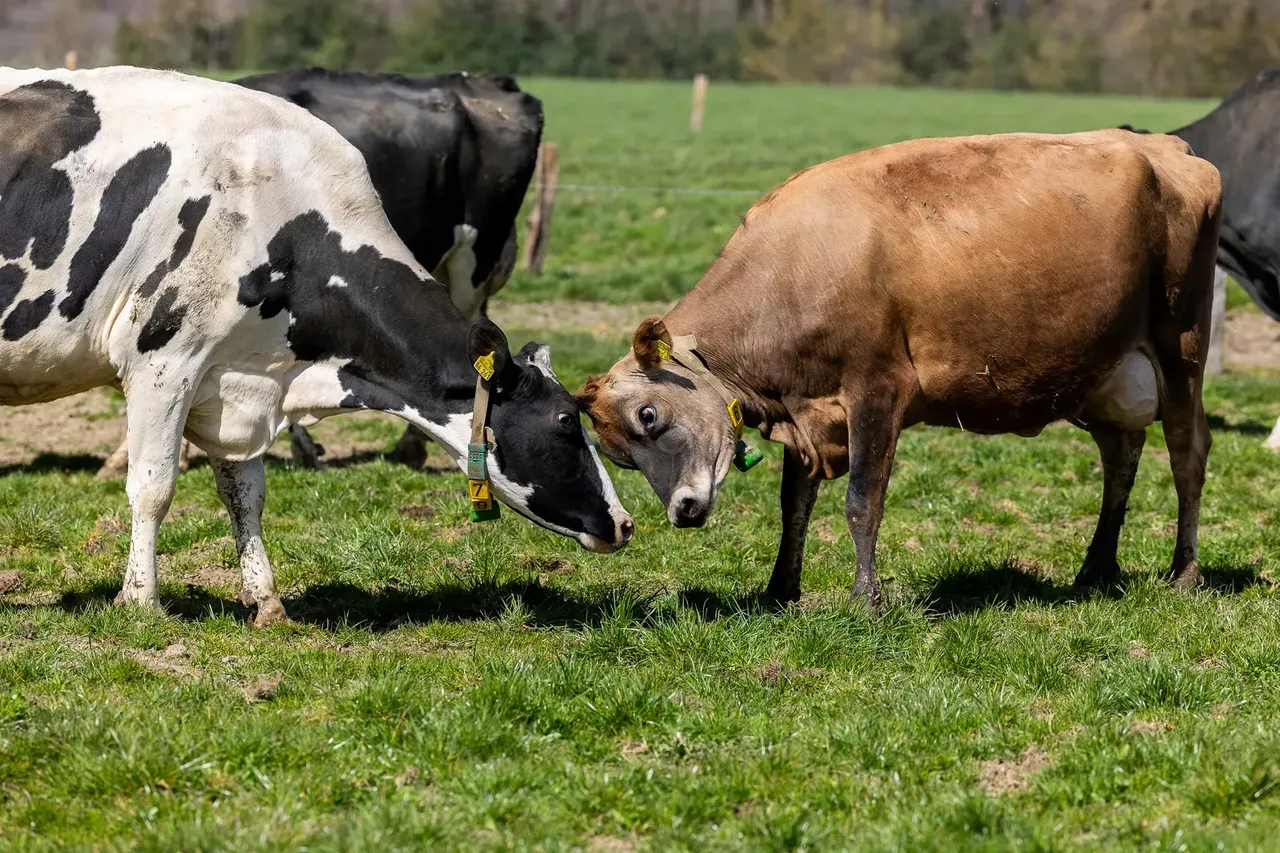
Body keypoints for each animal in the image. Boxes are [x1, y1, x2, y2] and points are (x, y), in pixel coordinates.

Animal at [579, 130, 1221, 610]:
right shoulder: (807, 411)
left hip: (1181, 348)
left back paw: (1184, 573)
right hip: (1106, 374)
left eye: (649, 414)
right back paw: (1096, 569)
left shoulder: (877, 390)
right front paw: (780, 590)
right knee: (1121, 459)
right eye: (619, 457)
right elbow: (795, 504)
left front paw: (866, 599)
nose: (682, 512)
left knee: (1188, 453)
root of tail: (1163, 146)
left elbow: (862, 501)